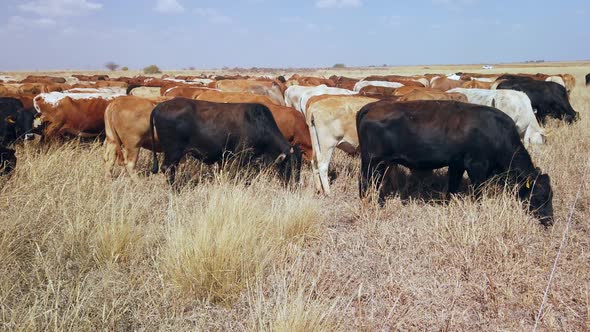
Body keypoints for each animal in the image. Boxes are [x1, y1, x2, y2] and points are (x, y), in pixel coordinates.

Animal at [150, 98, 302, 187]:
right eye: (290, 165)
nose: (295, 185)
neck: (260, 125)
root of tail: (159, 107)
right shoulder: (242, 156)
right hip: (173, 153)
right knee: (168, 169)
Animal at [358, 100, 556, 226]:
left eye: (551, 195)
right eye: (539, 196)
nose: (549, 221)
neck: (497, 132)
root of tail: (371, 106)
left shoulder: (457, 164)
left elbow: (452, 187)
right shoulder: (477, 166)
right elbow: (478, 193)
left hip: (380, 163)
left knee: (376, 183)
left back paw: (379, 203)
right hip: (372, 161)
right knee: (364, 183)